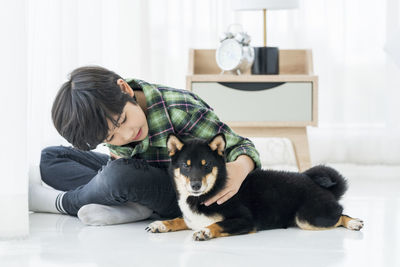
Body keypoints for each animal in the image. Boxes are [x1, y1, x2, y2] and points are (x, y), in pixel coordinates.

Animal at [146, 134, 362, 241]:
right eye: (186, 165)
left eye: (206, 165)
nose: (196, 185)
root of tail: (323, 187)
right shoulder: (192, 218)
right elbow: (178, 219)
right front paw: (161, 224)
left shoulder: (246, 220)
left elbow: (217, 224)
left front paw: (205, 232)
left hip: (307, 218)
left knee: (340, 214)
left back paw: (354, 222)